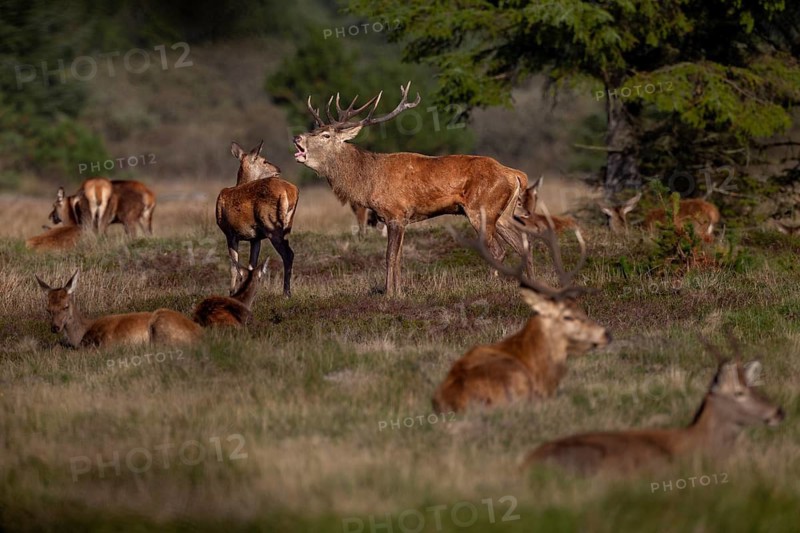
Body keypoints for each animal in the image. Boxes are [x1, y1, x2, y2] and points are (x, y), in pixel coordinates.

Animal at [217, 141, 298, 296]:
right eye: (264, 160)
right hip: (287, 225)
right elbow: (250, 266)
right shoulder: (256, 238)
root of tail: (288, 191)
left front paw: (232, 292)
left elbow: (234, 266)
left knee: (288, 254)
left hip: (271, 225)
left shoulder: (229, 233)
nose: (278, 169)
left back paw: (286, 293)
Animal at [294, 81, 532, 296]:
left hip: (481, 209)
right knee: (523, 245)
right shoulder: (401, 219)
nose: (297, 137)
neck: (368, 182)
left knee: (498, 249)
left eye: (326, 135)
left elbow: (390, 256)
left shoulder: (395, 214)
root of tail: (514, 174)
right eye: (315, 129)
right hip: (502, 214)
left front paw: (390, 294)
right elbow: (399, 256)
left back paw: (492, 284)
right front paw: (399, 291)